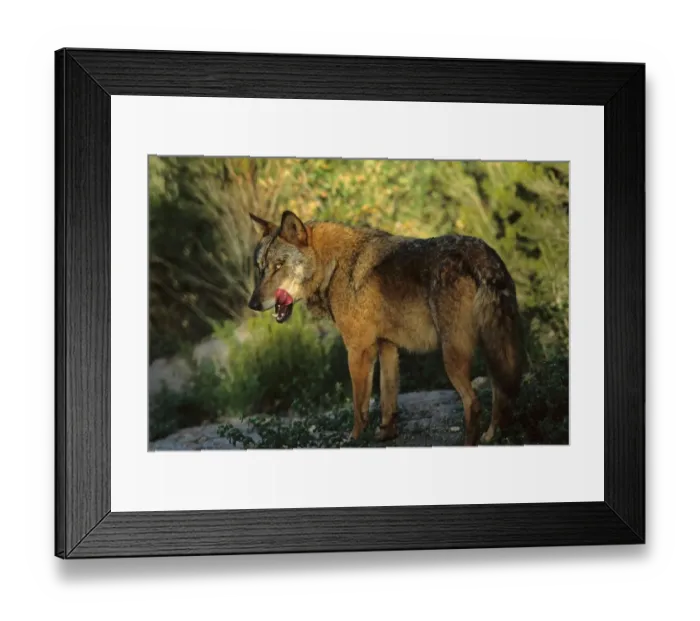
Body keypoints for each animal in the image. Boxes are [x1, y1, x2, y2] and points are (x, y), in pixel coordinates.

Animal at [246, 210, 525, 446]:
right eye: (260, 268)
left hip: (453, 358)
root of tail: (482, 255)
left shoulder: (358, 350)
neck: (333, 266)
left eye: (279, 266)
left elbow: (360, 406)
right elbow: (387, 400)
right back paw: (491, 436)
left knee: (473, 404)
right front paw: (386, 434)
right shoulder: (388, 347)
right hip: (495, 351)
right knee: (501, 395)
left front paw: (355, 439)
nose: (253, 304)